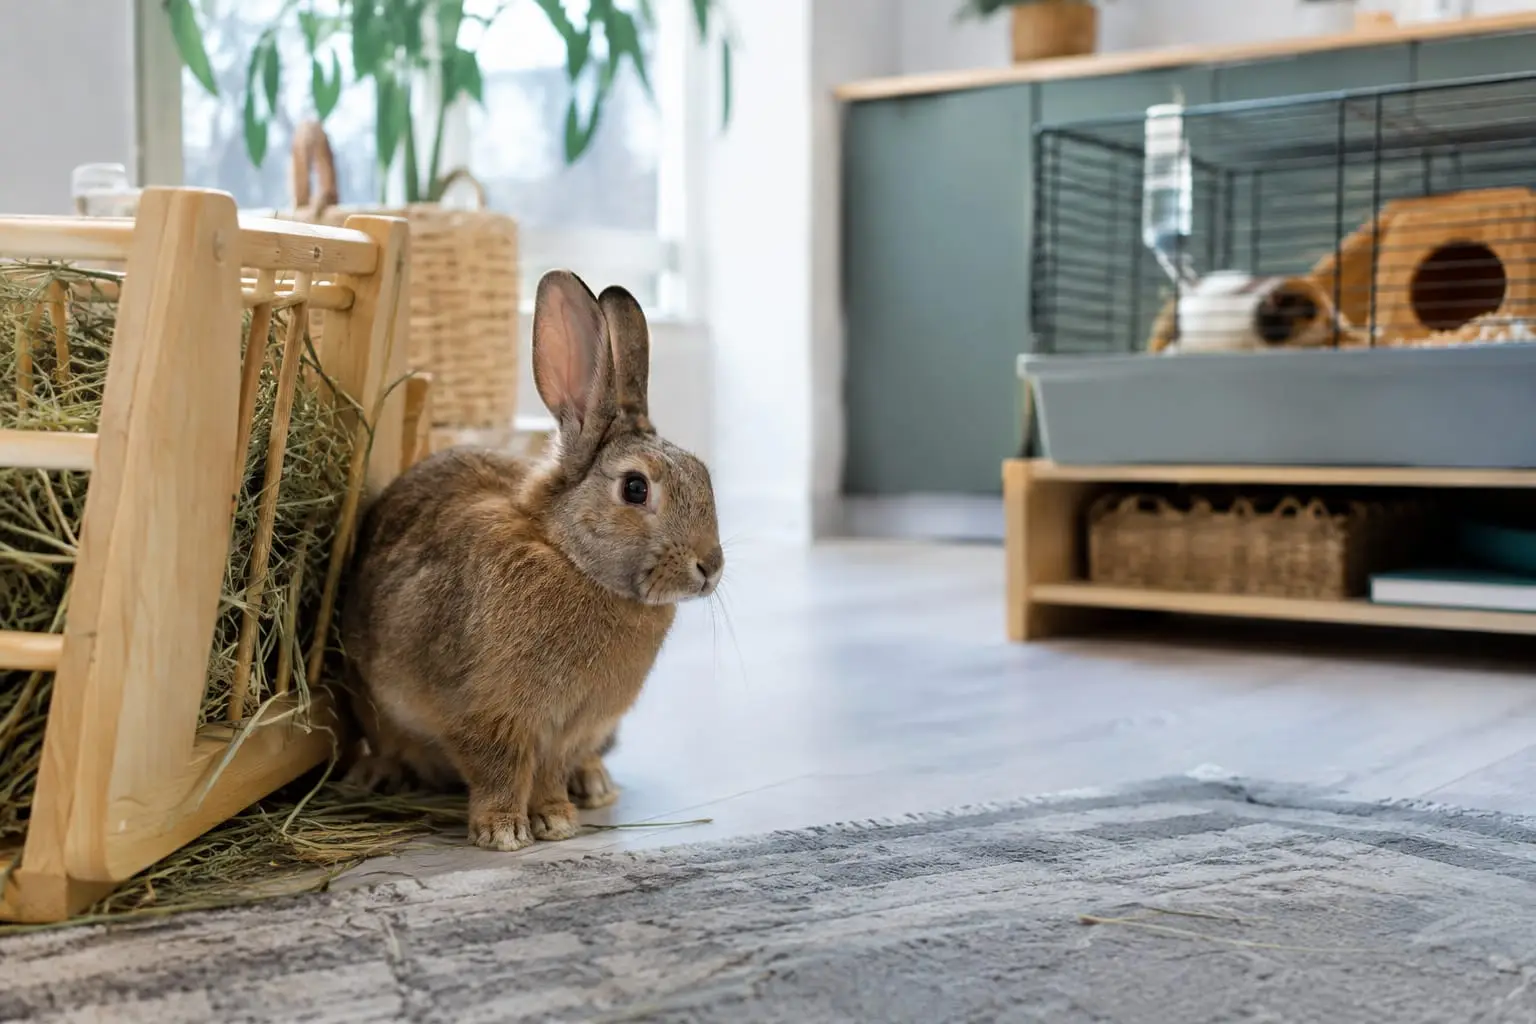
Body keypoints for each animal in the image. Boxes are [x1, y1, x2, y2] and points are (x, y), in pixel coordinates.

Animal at [339, 269, 724, 851]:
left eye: (703, 476)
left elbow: (548, 771)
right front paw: (503, 832)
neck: (569, 556)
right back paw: (374, 778)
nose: (711, 565)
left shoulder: (571, 727)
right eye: (635, 488)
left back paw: (593, 786)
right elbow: (498, 769)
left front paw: (556, 820)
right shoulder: (485, 713)